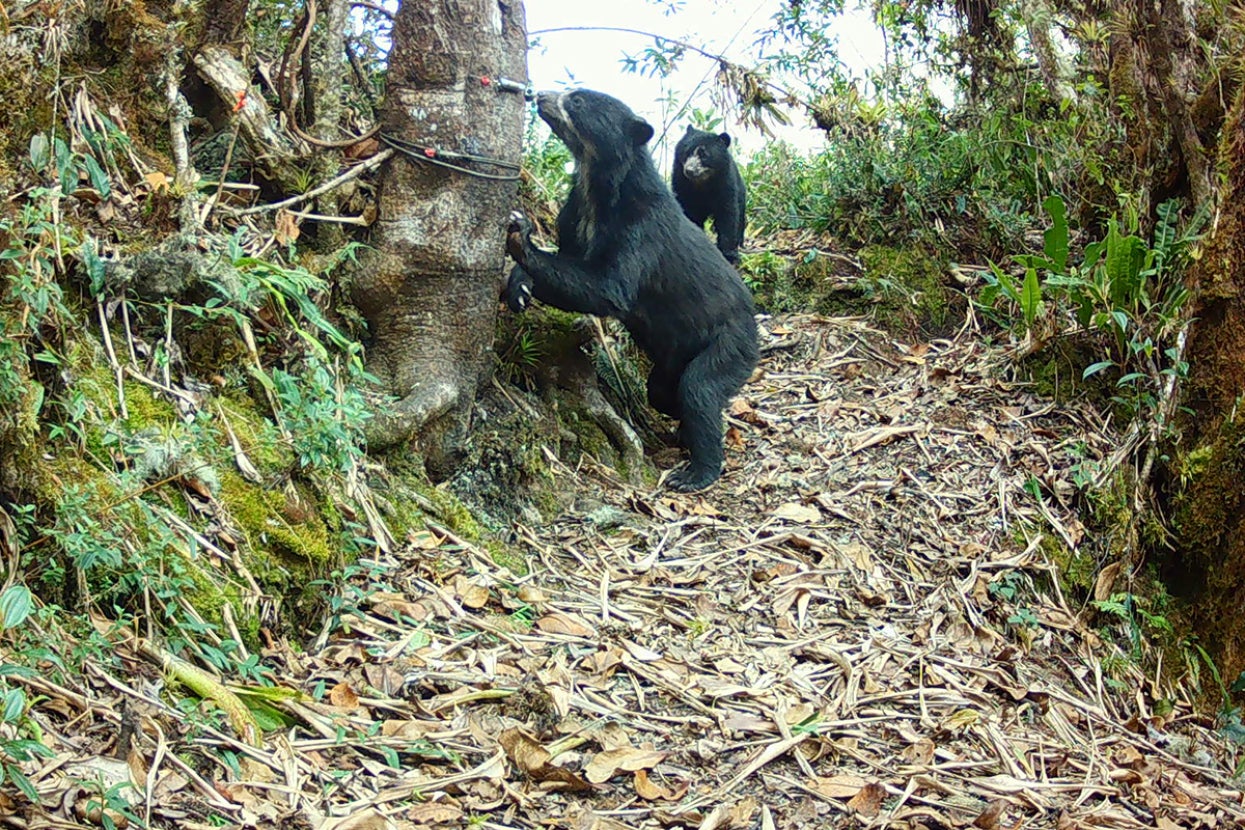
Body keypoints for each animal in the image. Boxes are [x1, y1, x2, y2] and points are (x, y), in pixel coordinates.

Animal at [671, 125, 748, 265]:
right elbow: (688, 211)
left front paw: (730, 255)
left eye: (703, 155)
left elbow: (728, 214)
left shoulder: (725, 183)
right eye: (686, 152)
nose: (689, 170)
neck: (701, 182)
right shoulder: (681, 184)